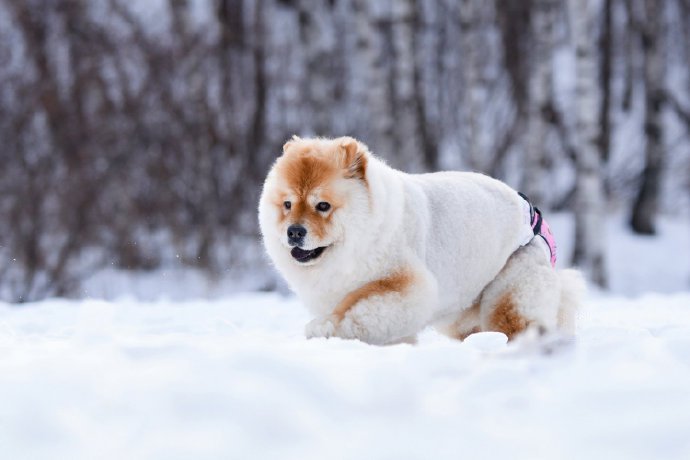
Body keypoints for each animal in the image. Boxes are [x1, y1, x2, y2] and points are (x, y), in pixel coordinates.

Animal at [255, 137, 584, 344]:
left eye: (322, 206)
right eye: (287, 205)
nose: (294, 231)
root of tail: (535, 217)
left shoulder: (401, 284)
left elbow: (354, 307)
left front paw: (323, 328)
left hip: (511, 286)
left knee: (518, 322)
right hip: (462, 310)